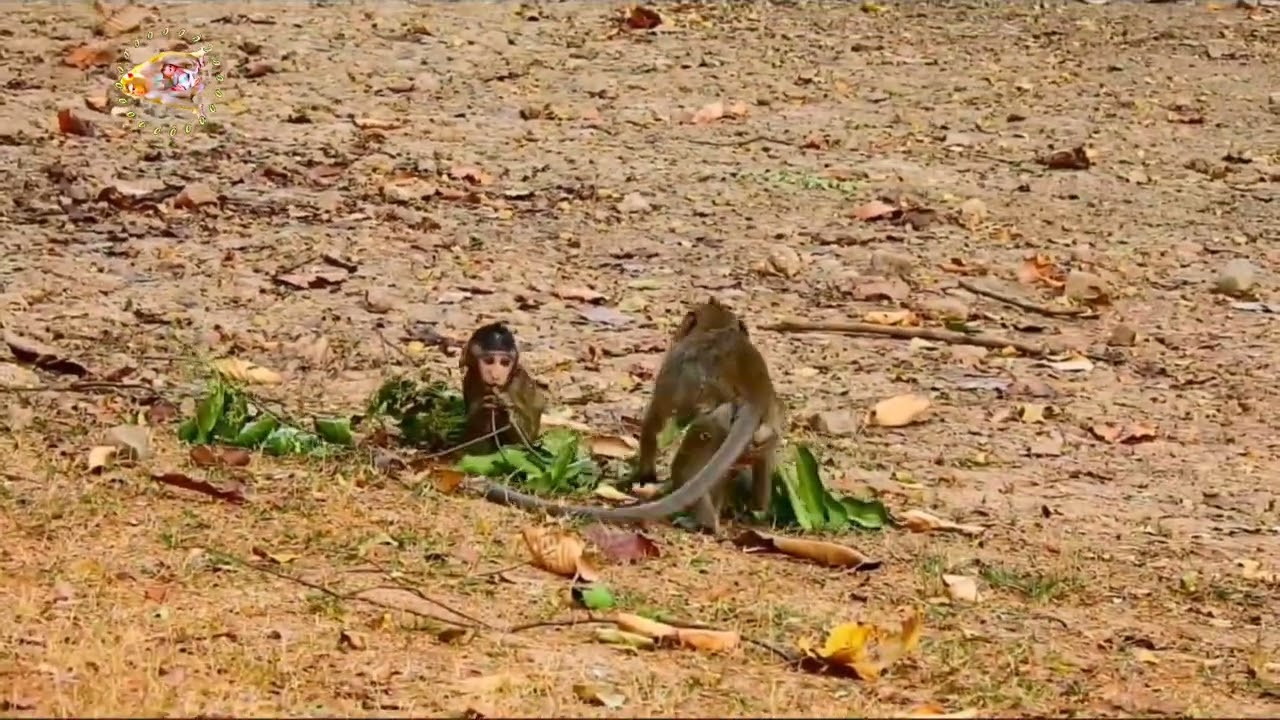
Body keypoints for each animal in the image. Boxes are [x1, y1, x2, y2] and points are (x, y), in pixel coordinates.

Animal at [459, 322, 545, 453]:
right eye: (489, 361)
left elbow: (526, 442)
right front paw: (482, 410)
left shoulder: (518, 383)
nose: (495, 375)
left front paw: (506, 406)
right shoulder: (469, 379)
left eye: (504, 363)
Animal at [476, 298, 784, 529]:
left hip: (714, 423)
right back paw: (755, 510)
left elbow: (654, 422)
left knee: (686, 465)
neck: (717, 329)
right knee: (759, 459)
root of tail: (754, 399)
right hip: (765, 432)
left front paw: (642, 474)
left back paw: (707, 523)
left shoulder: (674, 366)